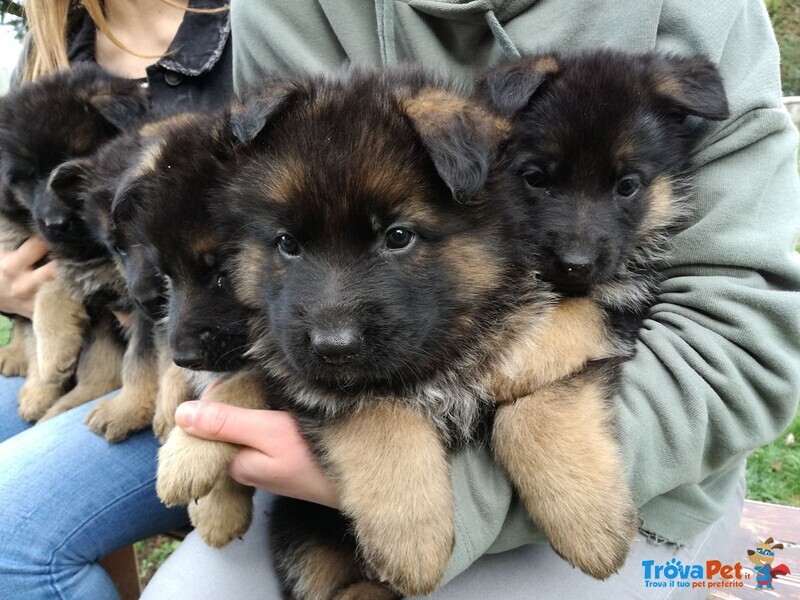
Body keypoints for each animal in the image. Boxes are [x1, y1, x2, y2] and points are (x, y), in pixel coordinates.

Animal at [476, 50, 732, 576]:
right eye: (536, 178)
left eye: (627, 185)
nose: (575, 263)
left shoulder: (628, 307)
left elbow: (531, 409)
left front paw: (587, 525)